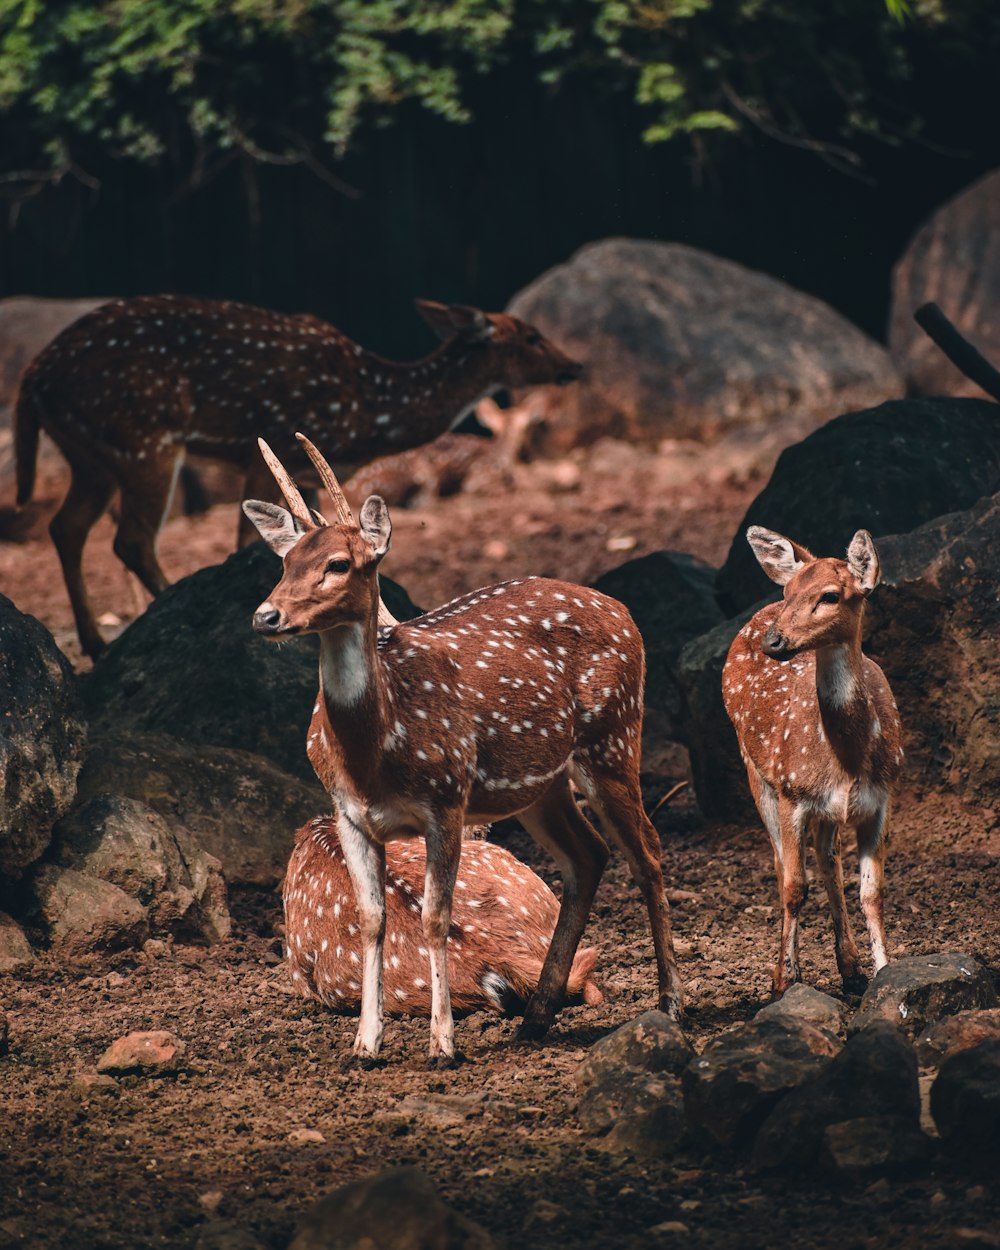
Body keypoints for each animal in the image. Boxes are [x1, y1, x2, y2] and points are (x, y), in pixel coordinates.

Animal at [720, 525, 905, 995]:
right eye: (788, 591)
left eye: (830, 595)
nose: (773, 641)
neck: (848, 759)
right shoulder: (792, 792)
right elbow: (793, 886)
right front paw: (784, 981)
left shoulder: (882, 798)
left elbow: (871, 892)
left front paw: (882, 971)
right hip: (755, 770)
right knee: (781, 863)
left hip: (826, 809)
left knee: (828, 861)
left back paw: (850, 967)